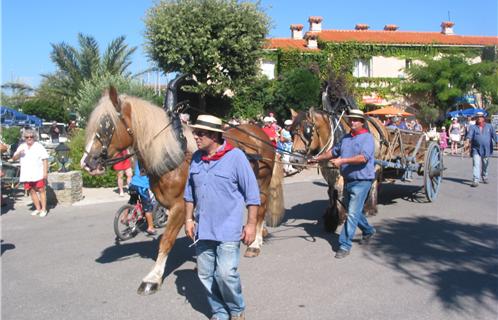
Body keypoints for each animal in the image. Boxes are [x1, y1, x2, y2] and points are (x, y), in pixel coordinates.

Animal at [81, 87, 284, 296]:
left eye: (106, 125)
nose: (87, 163)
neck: (173, 154)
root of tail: (261, 134)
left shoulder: (179, 206)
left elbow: (166, 240)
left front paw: (153, 278)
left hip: (261, 183)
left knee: (260, 209)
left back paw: (255, 243)